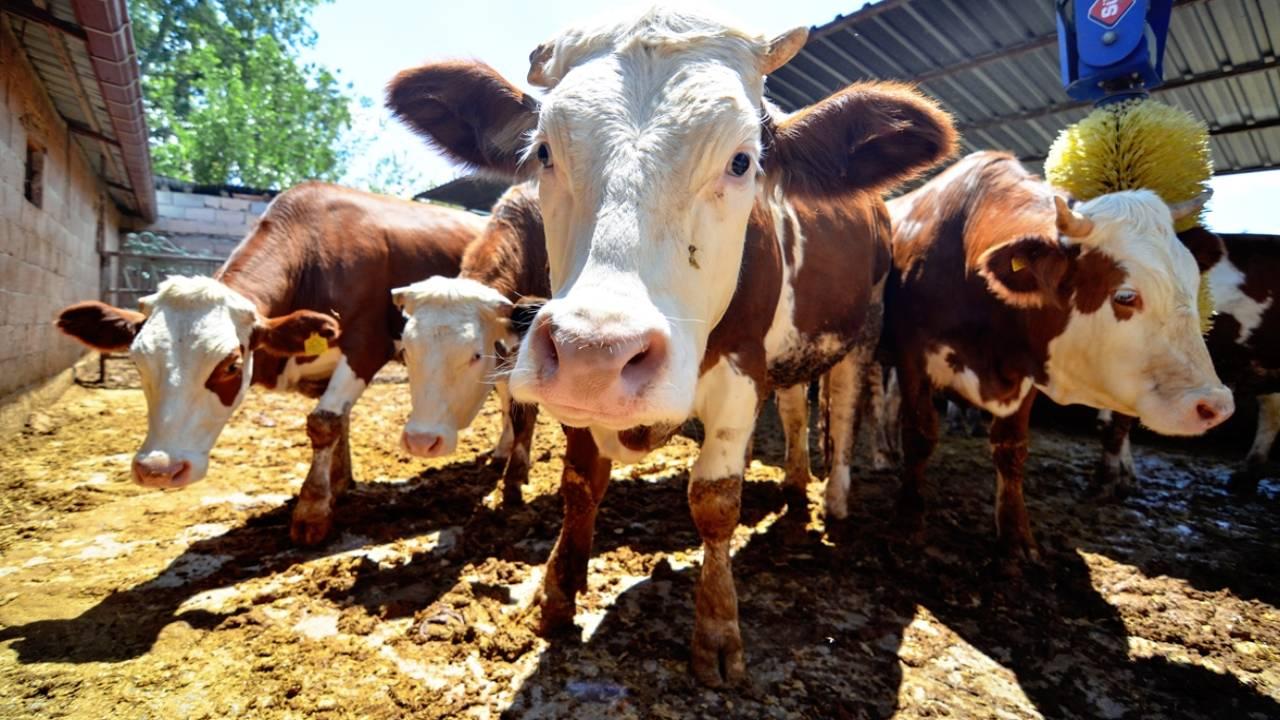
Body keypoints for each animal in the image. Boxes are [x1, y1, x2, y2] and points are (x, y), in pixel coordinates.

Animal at [53, 180, 483, 543]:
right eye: (138, 362)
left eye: (230, 365)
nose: (159, 469)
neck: (314, 250)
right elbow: (339, 420)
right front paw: (339, 486)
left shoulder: (366, 345)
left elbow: (324, 422)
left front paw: (312, 510)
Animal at [384, 5, 957, 681]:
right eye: (544, 151)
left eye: (742, 161)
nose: (596, 356)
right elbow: (581, 481)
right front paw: (558, 592)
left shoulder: (742, 370)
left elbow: (714, 500)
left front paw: (717, 631)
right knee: (794, 410)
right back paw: (794, 490)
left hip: (863, 332)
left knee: (841, 410)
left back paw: (834, 501)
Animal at [885, 149, 1233, 556]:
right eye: (1125, 296)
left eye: (1193, 284)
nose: (1217, 406)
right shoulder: (911, 357)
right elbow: (920, 433)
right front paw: (908, 517)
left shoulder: (1026, 369)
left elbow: (1011, 448)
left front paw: (1015, 535)